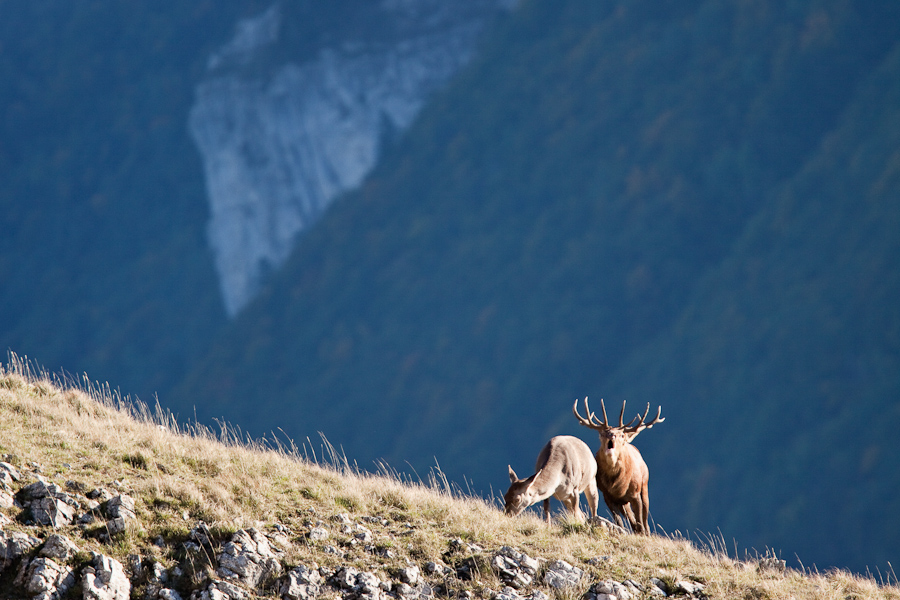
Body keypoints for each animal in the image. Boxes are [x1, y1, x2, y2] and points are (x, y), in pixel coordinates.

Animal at [572, 398, 664, 536]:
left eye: (621, 435)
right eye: (602, 433)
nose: (611, 435)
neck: (617, 485)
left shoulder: (635, 493)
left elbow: (640, 521)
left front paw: (643, 534)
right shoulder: (607, 496)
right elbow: (619, 522)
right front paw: (622, 531)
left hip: (644, 486)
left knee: (644, 519)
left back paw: (646, 532)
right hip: (623, 502)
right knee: (632, 519)